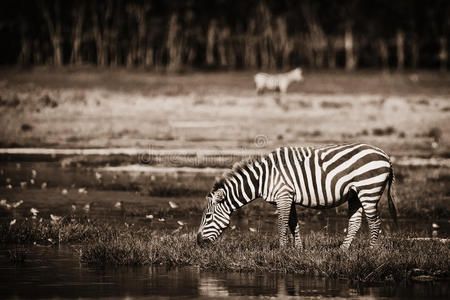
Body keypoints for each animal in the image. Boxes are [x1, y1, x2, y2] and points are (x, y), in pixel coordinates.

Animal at [196, 142, 398, 248]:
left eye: (208, 216)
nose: (197, 242)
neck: (263, 178)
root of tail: (385, 155)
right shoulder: (289, 197)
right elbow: (294, 224)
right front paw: (297, 250)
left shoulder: (283, 195)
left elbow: (281, 224)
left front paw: (281, 251)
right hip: (355, 194)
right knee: (355, 223)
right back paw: (342, 252)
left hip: (368, 190)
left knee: (375, 222)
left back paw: (371, 251)